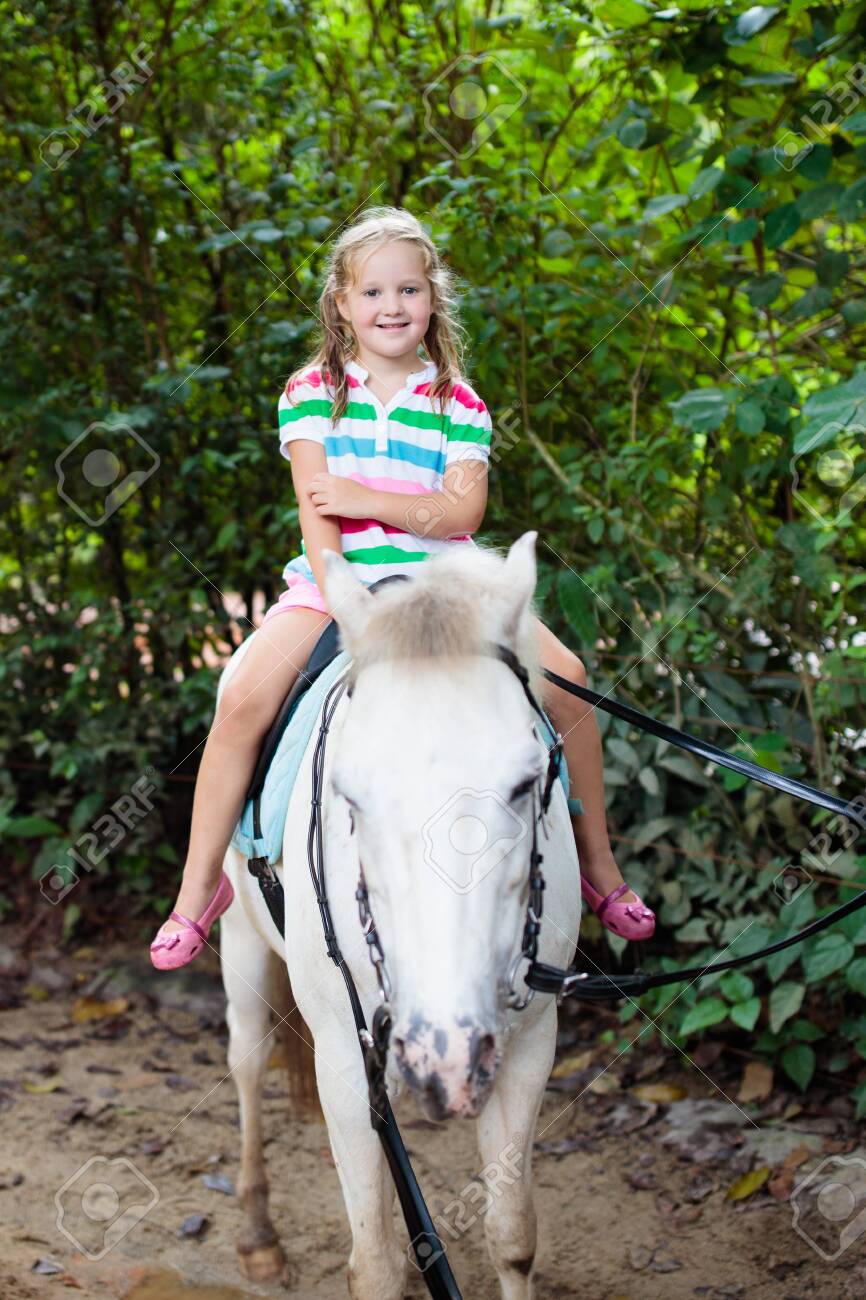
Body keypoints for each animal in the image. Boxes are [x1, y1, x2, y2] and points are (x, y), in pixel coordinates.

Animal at [218, 530, 581, 1299]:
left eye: (527, 782)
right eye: (350, 797)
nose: (447, 1045)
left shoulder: (530, 1044)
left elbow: (514, 1235)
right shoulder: (342, 1052)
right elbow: (376, 1264)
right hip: (240, 939)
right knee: (247, 1061)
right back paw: (258, 1237)